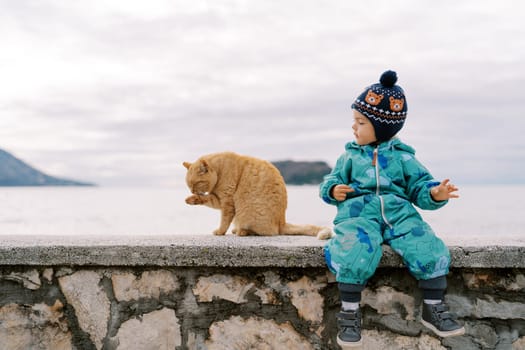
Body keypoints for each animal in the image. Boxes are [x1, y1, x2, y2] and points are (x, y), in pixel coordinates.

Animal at [184, 152, 332, 239]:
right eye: (189, 184)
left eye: (197, 183)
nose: (192, 191)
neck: (220, 171)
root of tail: (282, 222)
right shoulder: (218, 199)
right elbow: (206, 199)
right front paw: (192, 199)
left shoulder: (227, 203)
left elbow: (224, 221)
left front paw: (220, 232)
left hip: (249, 214)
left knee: (266, 232)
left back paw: (242, 231)